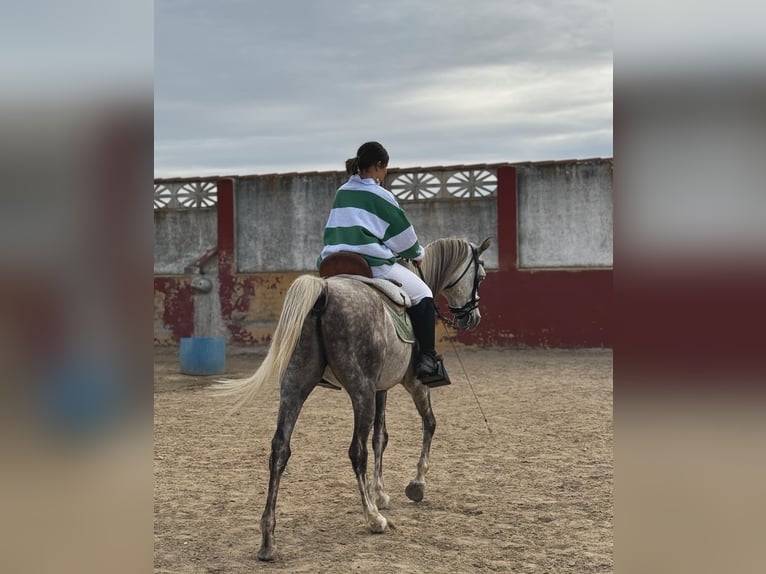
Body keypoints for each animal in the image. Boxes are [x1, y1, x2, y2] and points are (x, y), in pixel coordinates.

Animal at [216, 235, 492, 564]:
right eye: (481, 276)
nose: (473, 317)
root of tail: (324, 291)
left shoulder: (380, 389)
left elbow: (380, 438)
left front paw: (381, 493)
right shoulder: (411, 384)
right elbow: (428, 424)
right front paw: (415, 485)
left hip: (296, 386)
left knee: (279, 450)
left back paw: (268, 540)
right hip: (360, 391)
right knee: (356, 452)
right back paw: (373, 518)